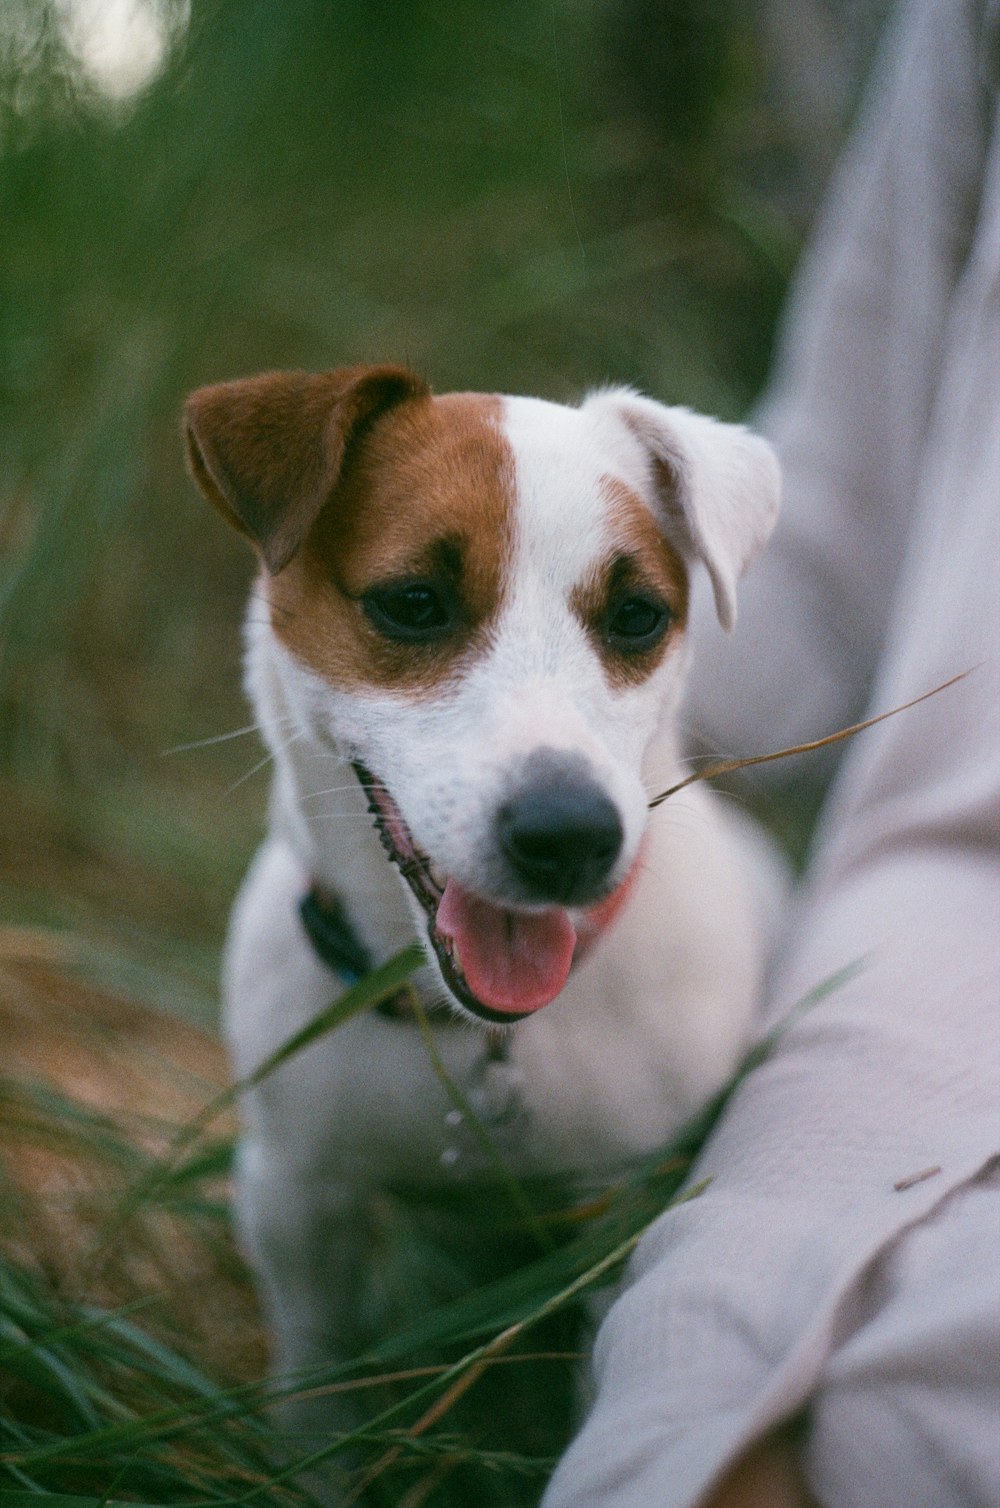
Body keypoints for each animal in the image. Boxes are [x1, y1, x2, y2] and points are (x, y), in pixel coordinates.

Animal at [184, 364, 784, 1459]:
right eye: (413, 603)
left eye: (638, 616)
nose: (569, 834)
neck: (474, 1037)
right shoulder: (295, 1196)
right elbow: (317, 1382)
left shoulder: (621, 1208)